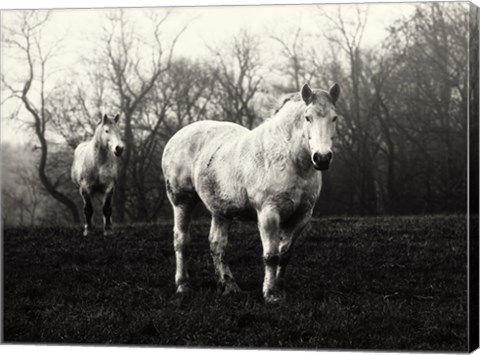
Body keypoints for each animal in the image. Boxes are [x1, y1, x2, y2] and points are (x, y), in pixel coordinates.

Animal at [162, 83, 342, 304]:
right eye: (308, 117)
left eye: (334, 117)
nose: (322, 158)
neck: (289, 160)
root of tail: (177, 136)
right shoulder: (268, 213)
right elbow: (271, 255)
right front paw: (270, 294)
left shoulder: (302, 216)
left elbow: (285, 254)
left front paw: (279, 288)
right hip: (182, 201)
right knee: (181, 241)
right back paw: (183, 285)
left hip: (221, 211)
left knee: (217, 245)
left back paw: (228, 286)